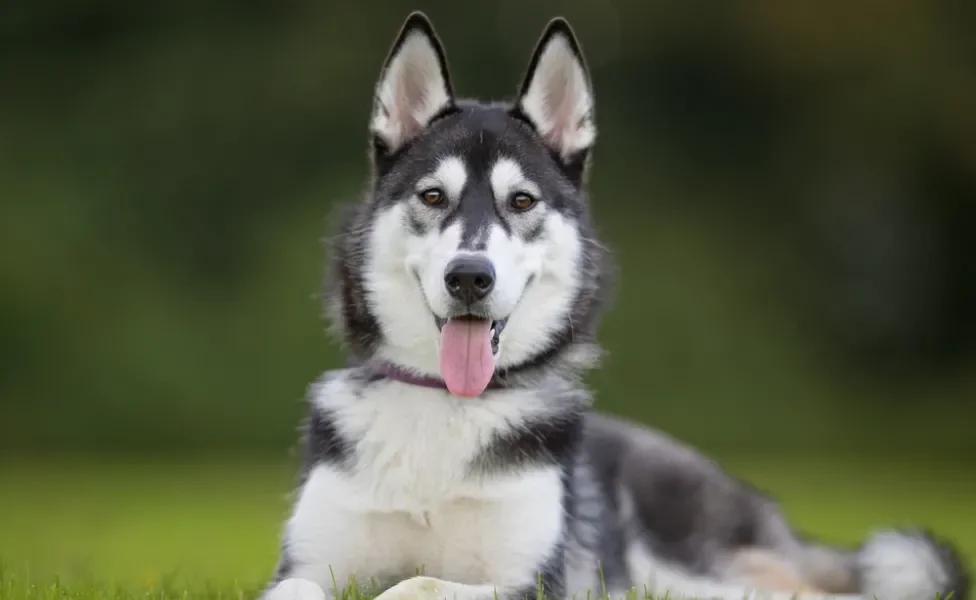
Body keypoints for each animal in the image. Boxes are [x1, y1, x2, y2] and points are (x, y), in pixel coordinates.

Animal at [260, 11, 968, 600]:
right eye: (434, 196)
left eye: (521, 201)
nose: (469, 278)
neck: (446, 410)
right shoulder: (304, 565)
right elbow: (312, 587)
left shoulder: (532, 584)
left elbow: (416, 583)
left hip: (697, 572)